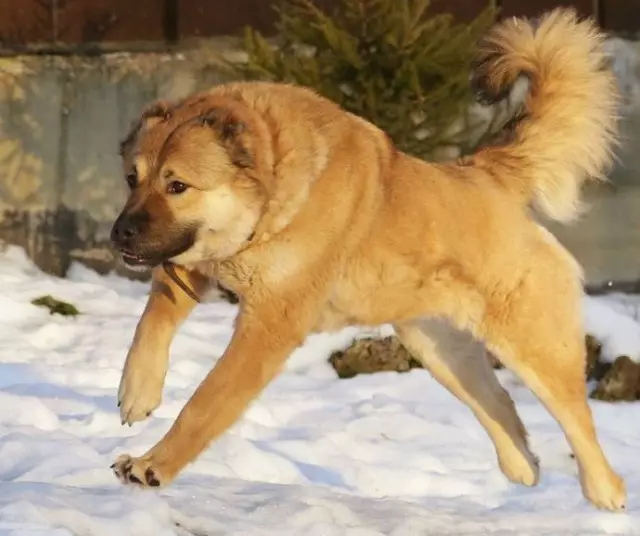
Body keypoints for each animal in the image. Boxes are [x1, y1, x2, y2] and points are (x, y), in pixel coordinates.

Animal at [110, 8, 624, 510]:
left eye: (177, 185)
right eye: (132, 179)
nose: (120, 234)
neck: (275, 189)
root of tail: (485, 175)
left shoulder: (268, 327)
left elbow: (205, 403)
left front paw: (154, 464)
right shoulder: (189, 262)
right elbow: (151, 321)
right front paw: (138, 391)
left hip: (533, 348)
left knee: (582, 432)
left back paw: (606, 496)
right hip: (441, 351)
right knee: (500, 407)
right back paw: (522, 465)